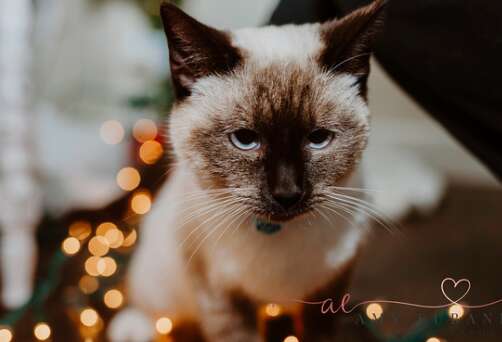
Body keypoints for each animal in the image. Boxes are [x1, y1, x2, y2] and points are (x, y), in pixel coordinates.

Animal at [111, 1, 388, 340]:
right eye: (245, 139)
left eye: (318, 138)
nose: (287, 194)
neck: (276, 236)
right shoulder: (223, 300)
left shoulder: (328, 292)